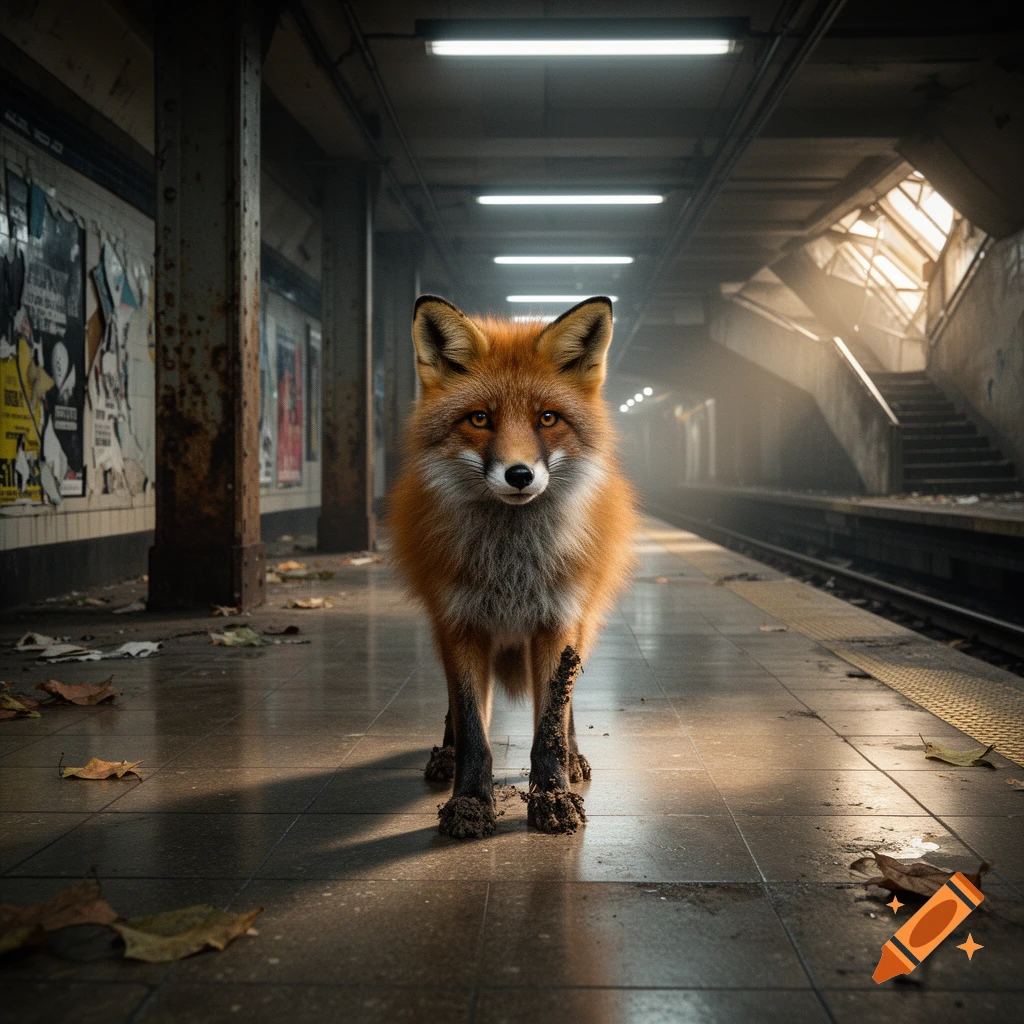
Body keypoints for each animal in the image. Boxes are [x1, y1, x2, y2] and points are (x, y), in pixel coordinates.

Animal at [387, 295, 637, 839]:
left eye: (548, 418)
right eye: (480, 419)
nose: (519, 475)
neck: (511, 568)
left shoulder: (557, 621)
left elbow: (550, 724)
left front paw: (553, 797)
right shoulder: (459, 622)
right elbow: (472, 728)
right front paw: (469, 801)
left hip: (582, 622)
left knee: (567, 705)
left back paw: (575, 759)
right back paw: (446, 754)